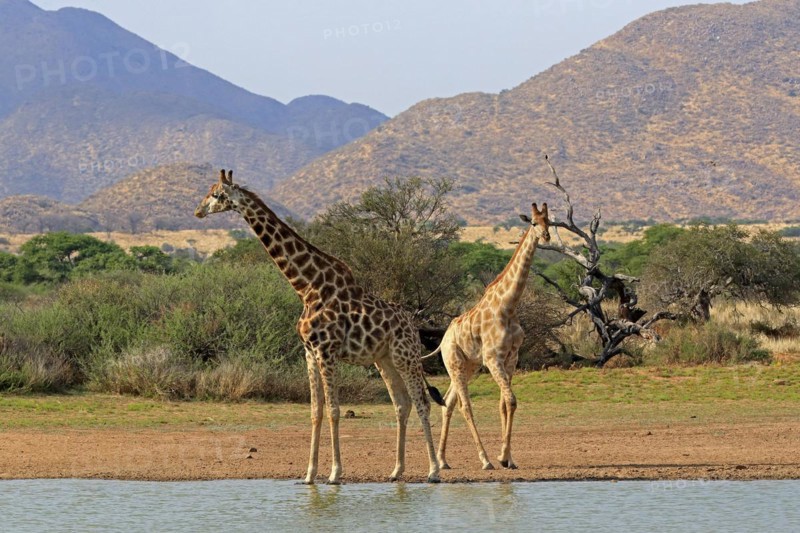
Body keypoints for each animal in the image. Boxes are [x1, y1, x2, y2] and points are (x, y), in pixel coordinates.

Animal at [195, 169, 443, 484]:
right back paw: (396, 470)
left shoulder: (327, 351)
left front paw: (335, 473)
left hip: (405, 356)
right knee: (402, 404)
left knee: (422, 402)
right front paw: (309, 474)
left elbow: (335, 410)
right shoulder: (310, 353)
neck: (307, 288)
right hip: (384, 360)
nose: (198, 211)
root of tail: (413, 324)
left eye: (215, 194)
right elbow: (316, 411)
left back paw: (434, 470)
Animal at [431, 202, 550, 471]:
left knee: (448, 402)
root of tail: (443, 340)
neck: (508, 306)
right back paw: (484, 459)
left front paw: (509, 458)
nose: (546, 236)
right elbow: (512, 401)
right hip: (454, 363)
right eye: (533, 223)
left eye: (550, 221)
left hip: (469, 366)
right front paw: (500, 457)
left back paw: (443, 461)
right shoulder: (493, 358)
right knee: (464, 405)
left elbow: (504, 403)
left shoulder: (511, 358)